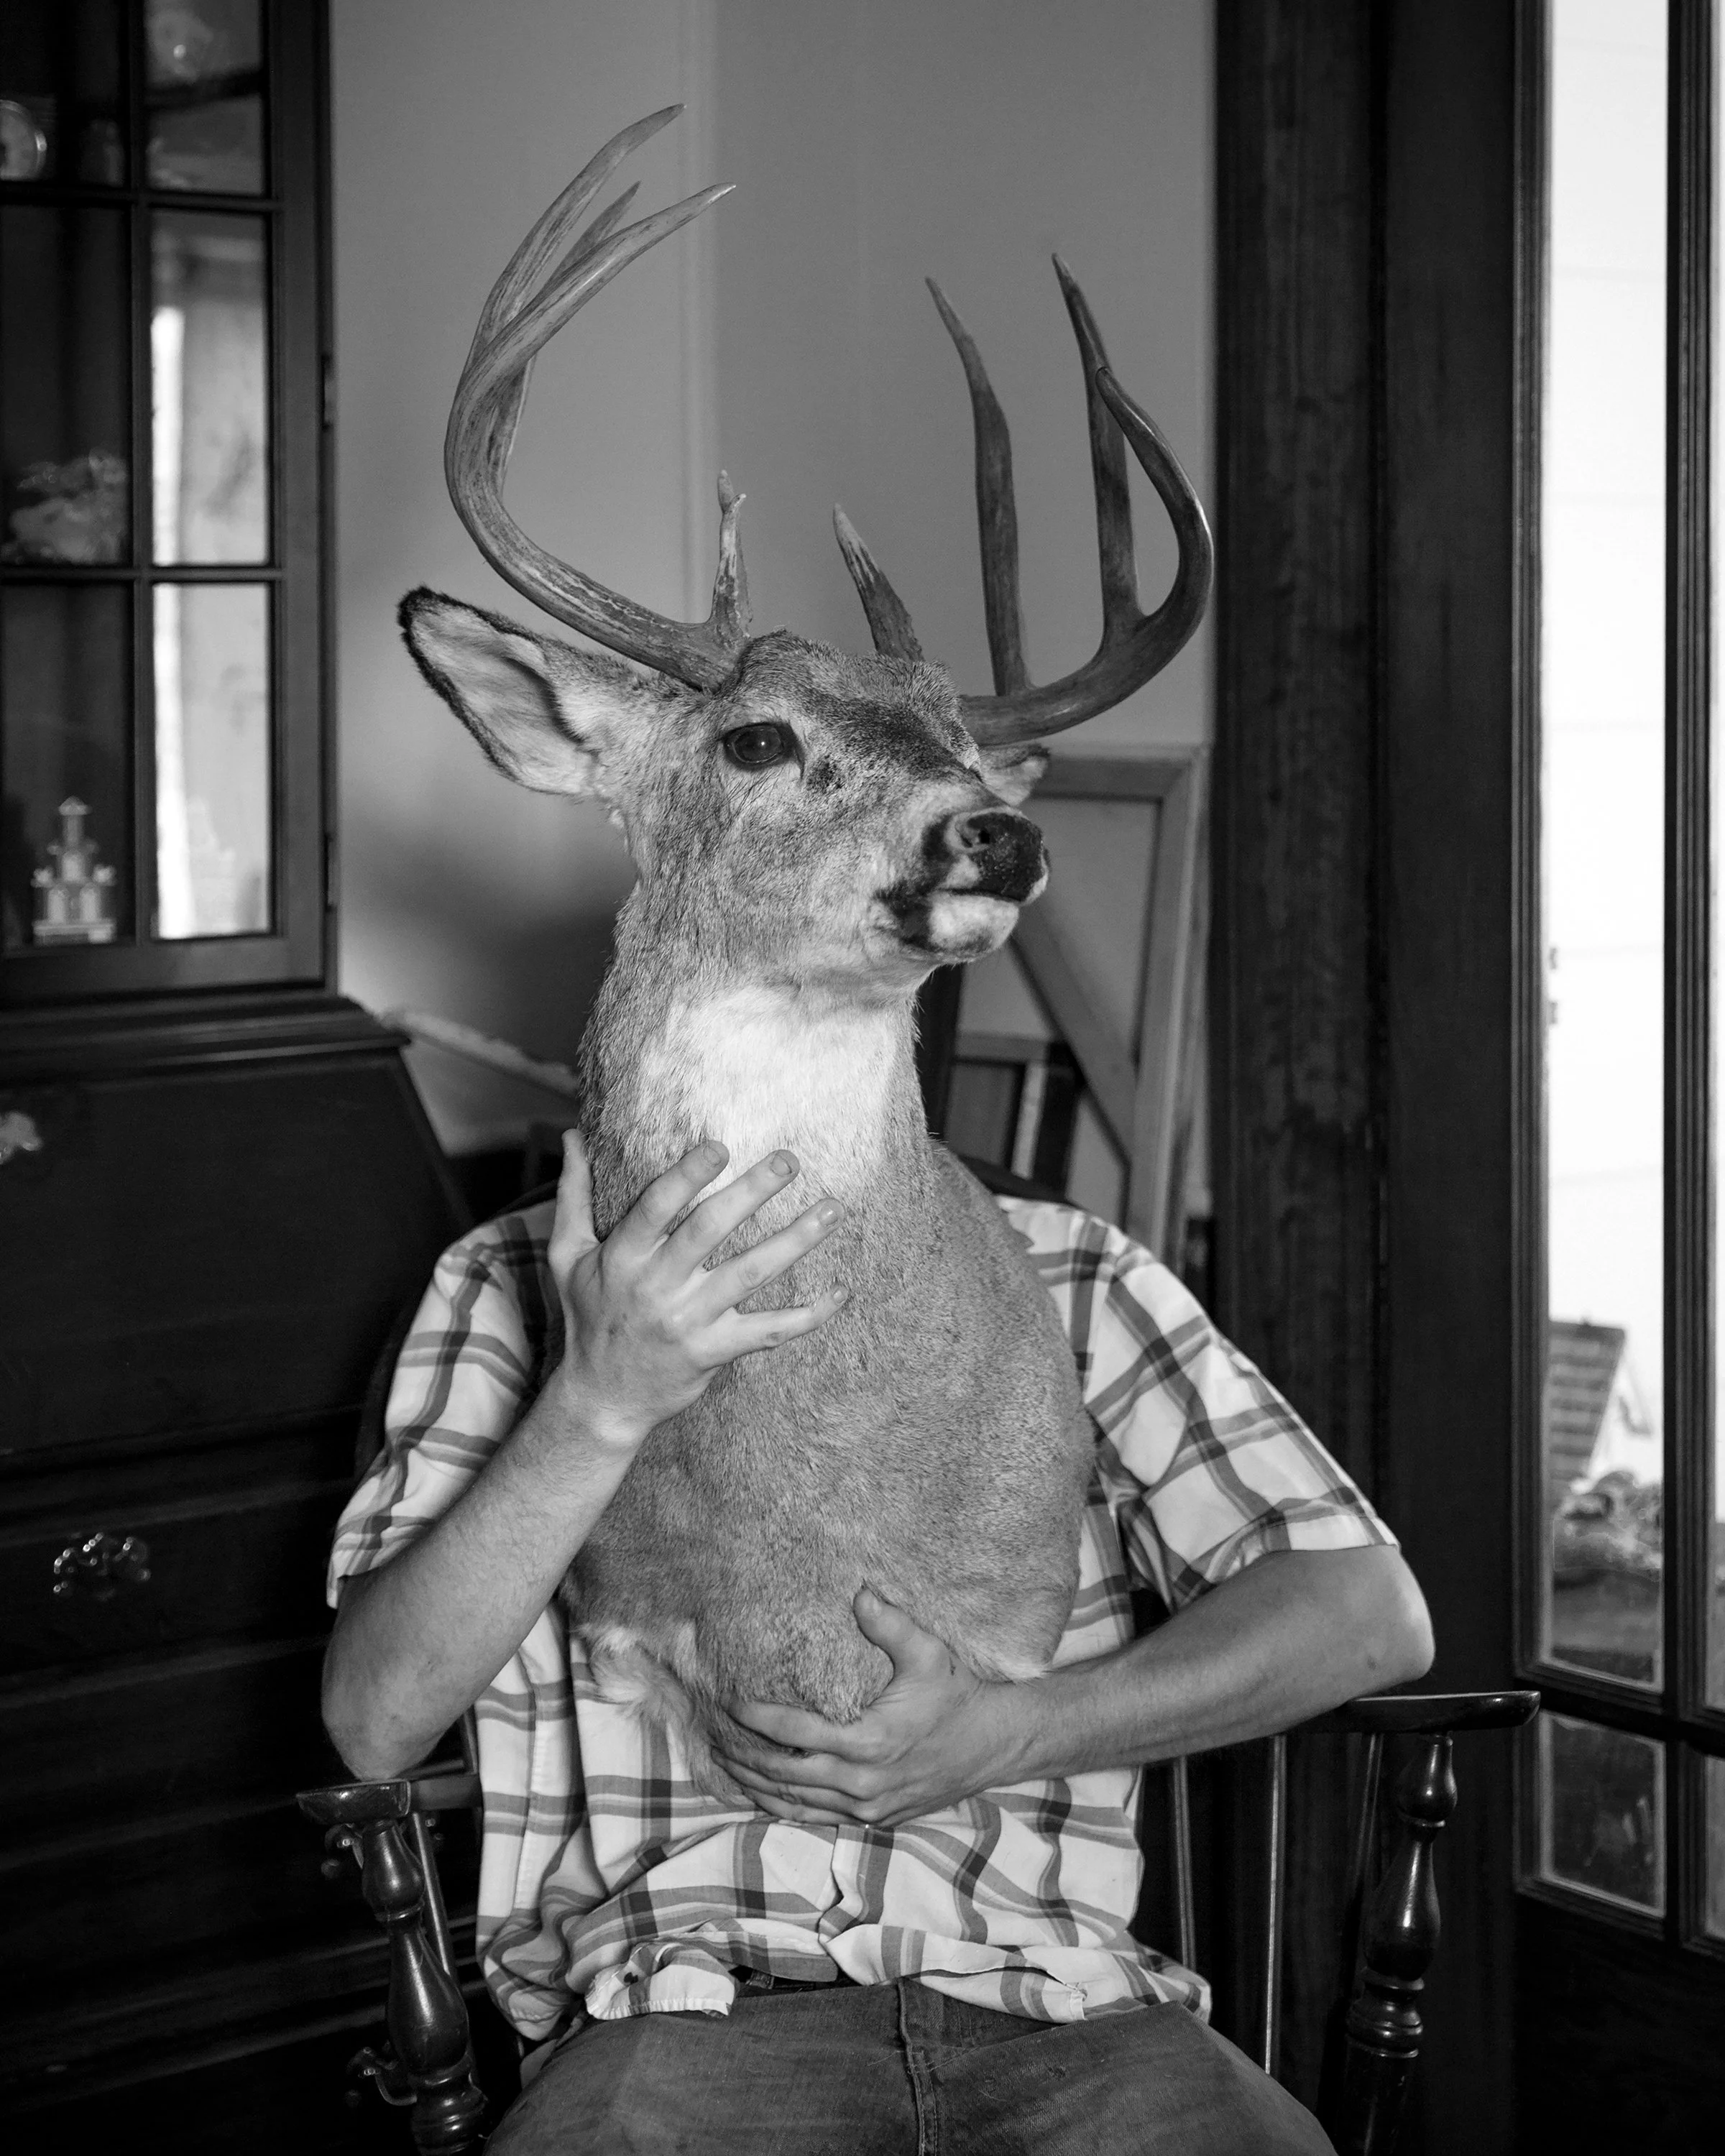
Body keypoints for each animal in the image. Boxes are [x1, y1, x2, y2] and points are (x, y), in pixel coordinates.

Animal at [400, 109, 1212, 1800]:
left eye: (964, 738)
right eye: (757, 738)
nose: (999, 834)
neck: (810, 1570)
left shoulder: (1009, 1632)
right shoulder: (625, 1629)